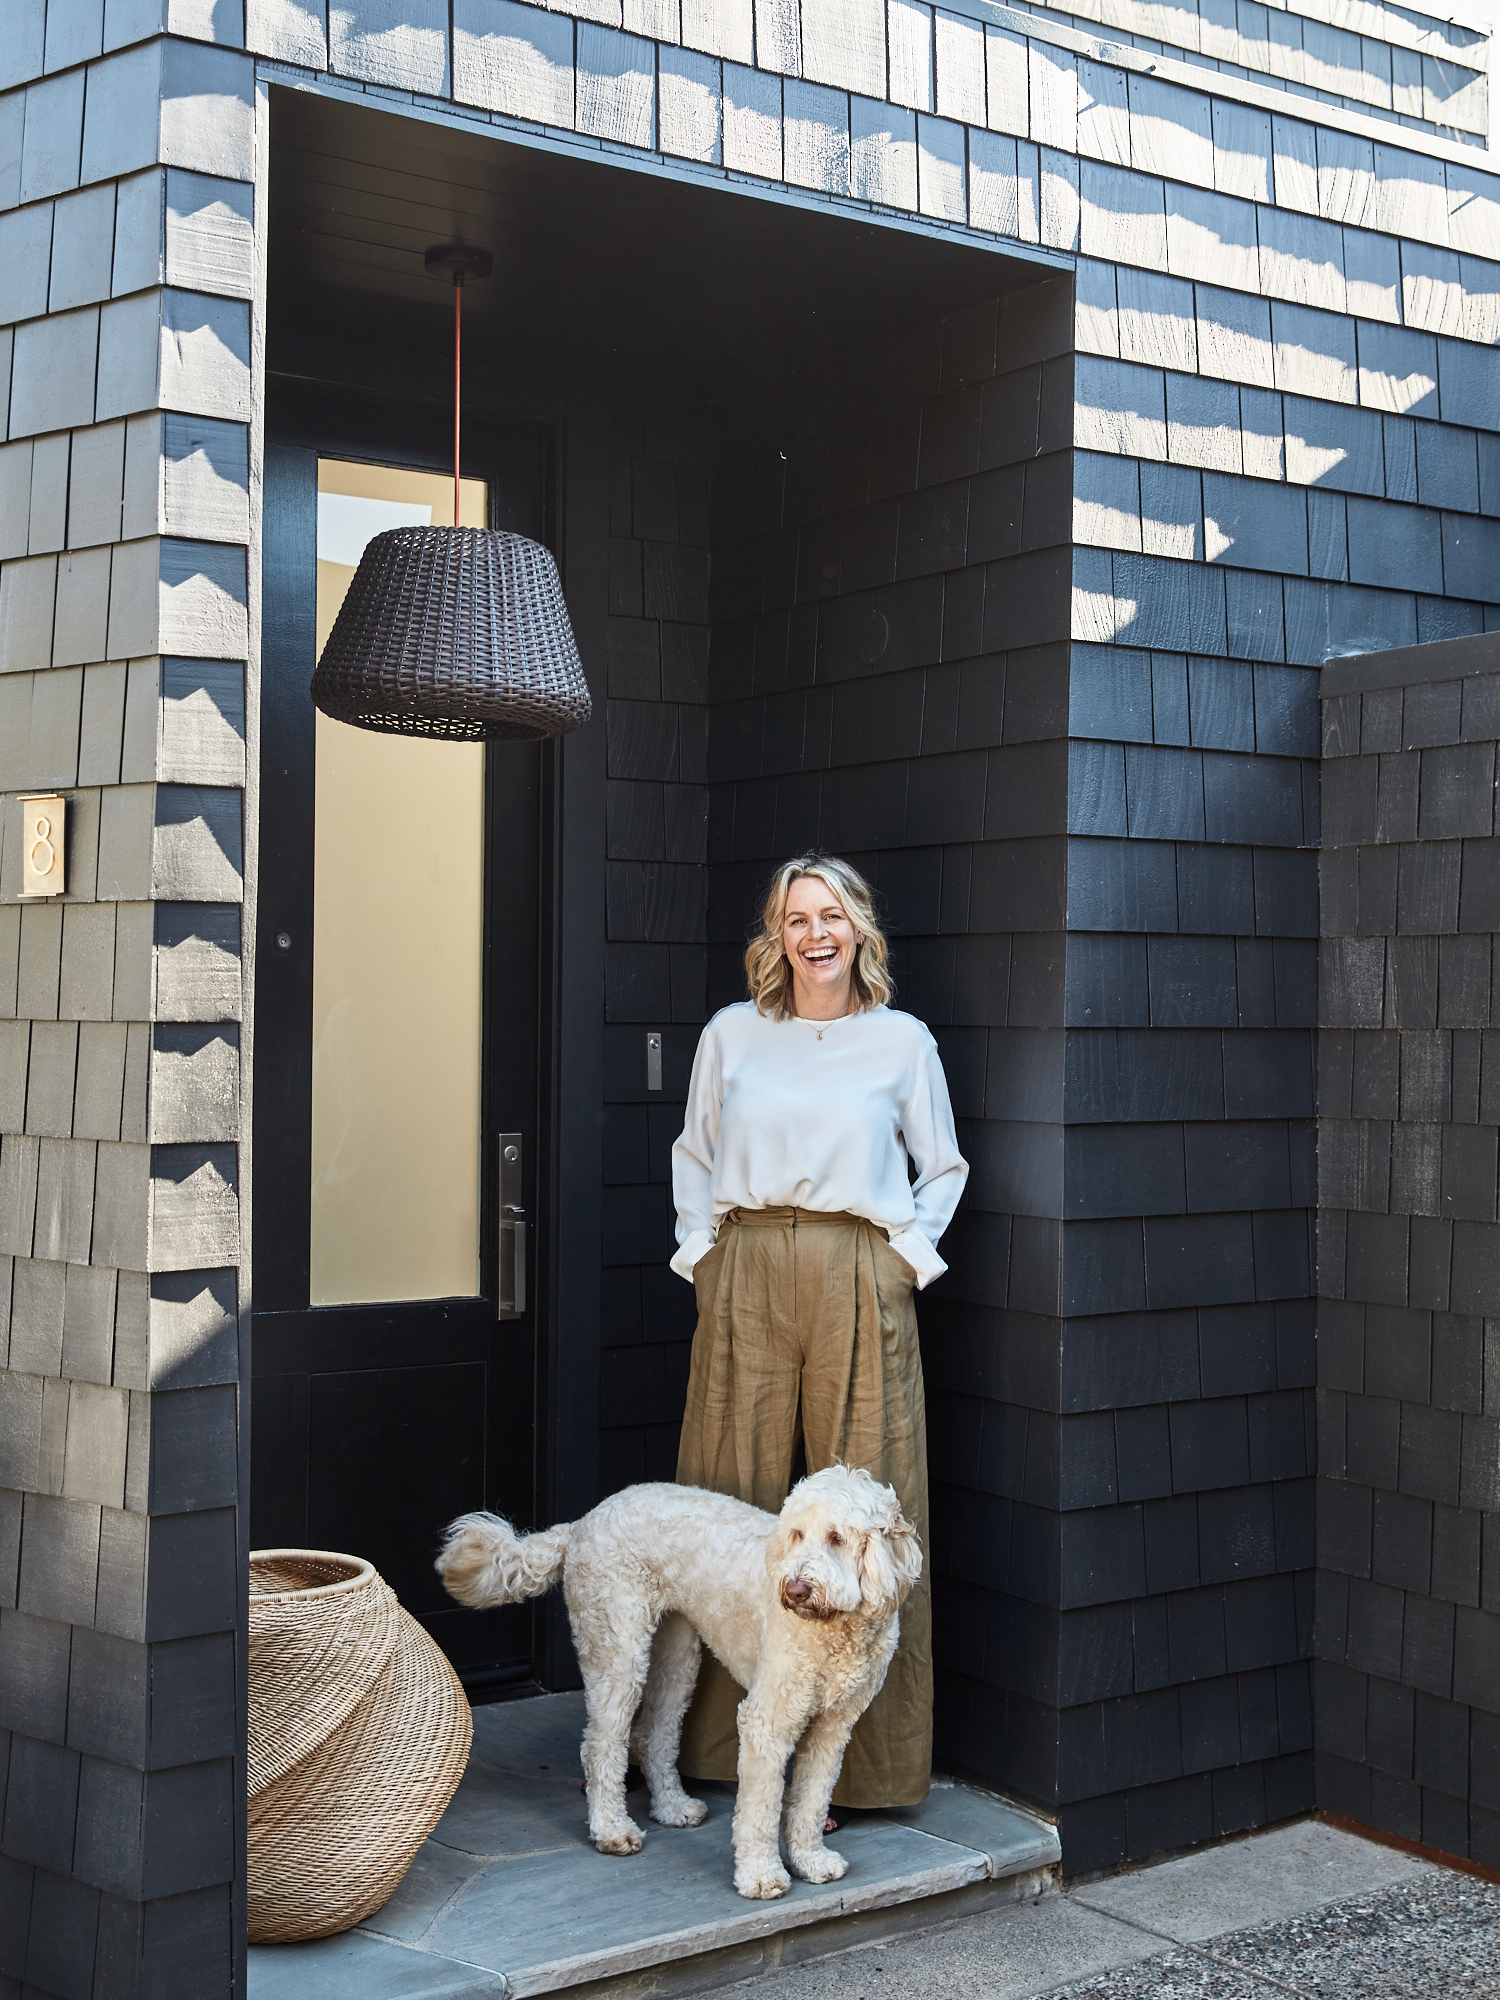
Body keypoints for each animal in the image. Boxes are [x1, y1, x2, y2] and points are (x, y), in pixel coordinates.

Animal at [440, 1464, 924, 1896]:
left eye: (837, 1538)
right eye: (797, 1535)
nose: (795, 1590)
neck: (837, 1627)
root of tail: (586, 1519)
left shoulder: (833, 1727)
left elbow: (810, 1800)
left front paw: (810, 1861)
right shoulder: (767, 1723)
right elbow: (760, 1811)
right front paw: (760, 1876)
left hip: (677, 1657)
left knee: (654, 1733)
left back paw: (672, 1807)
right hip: (618, 1648)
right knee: (601, 1743)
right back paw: (612, 1830)